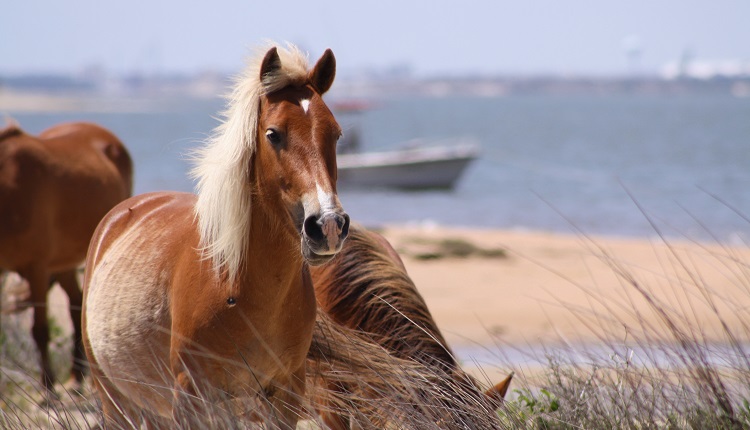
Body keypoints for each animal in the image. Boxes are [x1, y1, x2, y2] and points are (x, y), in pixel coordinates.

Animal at [0, 120, 133, 394]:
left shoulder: (37, 268)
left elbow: (40, 331)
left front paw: (48, 389)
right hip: (63, 263)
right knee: (77, 307)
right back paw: (76, 378)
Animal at [82, 44, 349, 428]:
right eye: (273, 133)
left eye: (336, 134)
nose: (327, 225)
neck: (236, 284)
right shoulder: (191, 397)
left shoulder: (287, 394)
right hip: (114, 399)